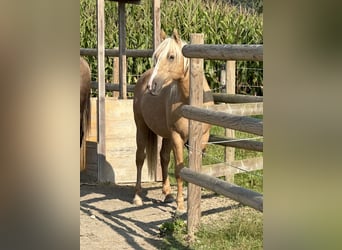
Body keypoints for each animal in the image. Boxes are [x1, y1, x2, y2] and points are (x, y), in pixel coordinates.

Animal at [132, 29, 212, 213]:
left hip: (166, 135)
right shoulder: (177, 137)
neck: (188, 100)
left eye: (171, 56)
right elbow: (179, 170)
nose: (152, 86)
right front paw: (181, 205)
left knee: (163, 157)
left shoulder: (202, 138)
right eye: (156, 56)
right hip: (142, 127)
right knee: (140, 158)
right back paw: (137, 196)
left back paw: (167, 193)